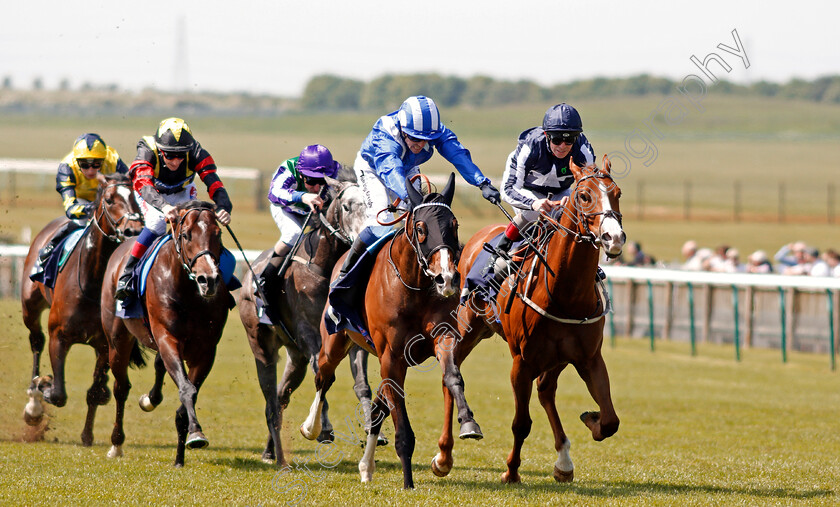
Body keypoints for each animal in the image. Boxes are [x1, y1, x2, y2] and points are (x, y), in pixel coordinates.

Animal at [19, 175, 143, 444]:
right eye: (109, 199)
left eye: (136, 199)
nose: (134, 230)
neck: (92, 281)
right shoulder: (59, 336)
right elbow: (58, 393)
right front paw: (43, 386)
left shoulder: (105, 344)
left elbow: (94, 391)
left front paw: (87, 434)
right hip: (30, 306)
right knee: (36, 341)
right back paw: (33, 400)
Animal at [102, 199, 233, 468]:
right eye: (186, 235)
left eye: (218, 234)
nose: (208, 280)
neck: (190, 294)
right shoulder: (167, 338)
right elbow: (187, 389)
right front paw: (195, 434)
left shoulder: (206, 350)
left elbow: (189, 392)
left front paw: (184, 450)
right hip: (117, 340)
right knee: (121, 388)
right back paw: (116, 444)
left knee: (158, 367)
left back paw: (150, 400)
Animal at [236, 180, 374, 468]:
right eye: (346, 206)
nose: (364, 240)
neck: (327, 267)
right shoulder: (308, 333)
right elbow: (323, 374)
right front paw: (323, 429)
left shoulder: (353, 338)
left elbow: (361, 384)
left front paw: (370, 425)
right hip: (260, 343)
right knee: (272, 396)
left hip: (295, 357)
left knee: (280, 397)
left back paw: (269, 452)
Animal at [300, 174, 482, 488]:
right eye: (421, 228)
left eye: (454, 225)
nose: (447, 278)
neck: (415, 286)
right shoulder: (391, 356)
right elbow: (402, 426)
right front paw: (408, 482)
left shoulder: (441, 338)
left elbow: (452, 376)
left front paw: (468, 422)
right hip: (335, 343)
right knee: (323, 377)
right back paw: (312, 427)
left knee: (376, 407)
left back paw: (366, 466)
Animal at [446, 158, 624, 484]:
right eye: (584, 196)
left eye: (617, 193)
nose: (614, 238)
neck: (564, 293)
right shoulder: (522, 362)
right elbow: (521, 423)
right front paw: (511, 471)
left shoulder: (589, 358)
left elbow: (609, 420)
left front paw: (590, 419)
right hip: (468, 327)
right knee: (450, 373)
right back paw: (445, 454)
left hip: (556, 357)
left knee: (546, 390)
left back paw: (564, 461)